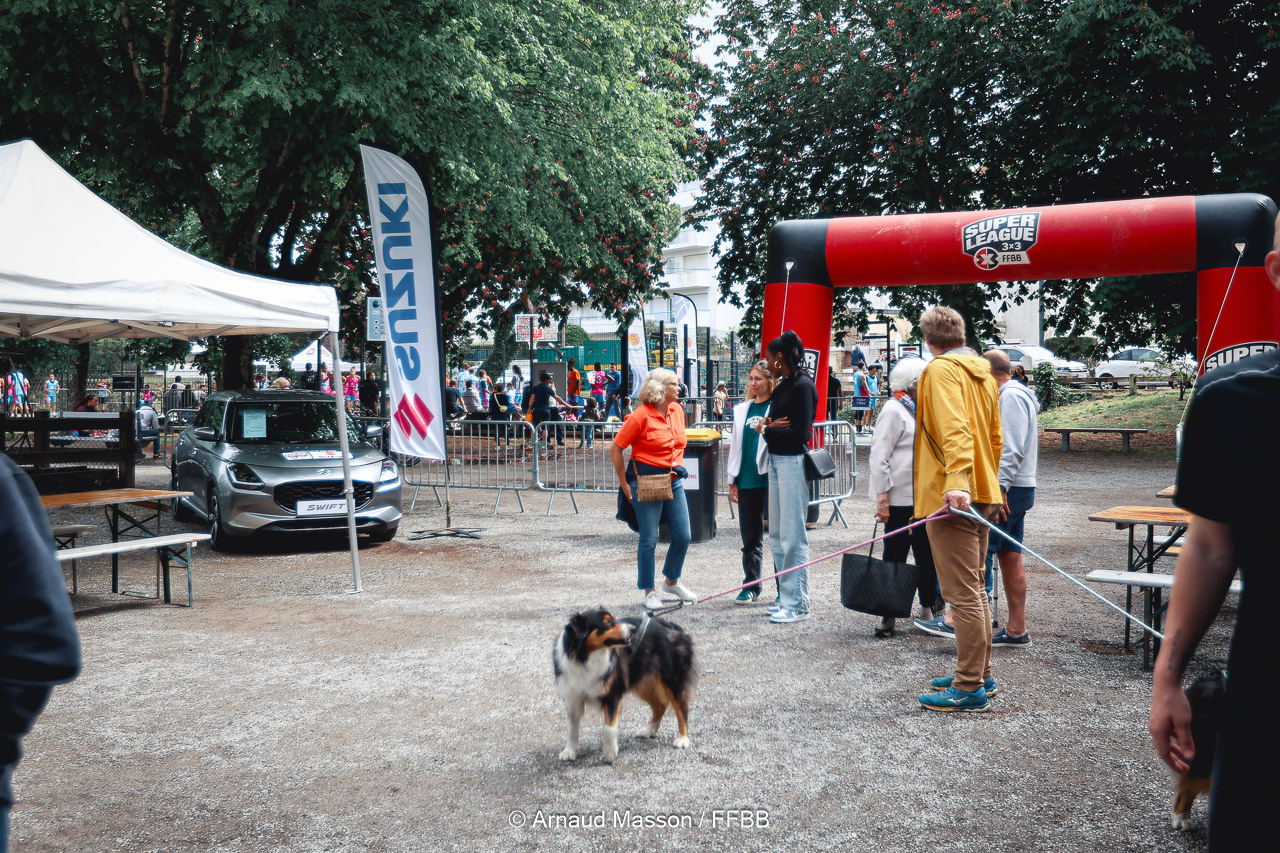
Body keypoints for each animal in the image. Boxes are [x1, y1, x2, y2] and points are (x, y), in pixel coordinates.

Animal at [553, 608, 696, 762]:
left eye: (615, 619)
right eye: (606, 623)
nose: (633, 629)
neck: (585, 658)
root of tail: (672, 625)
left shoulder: (613, 693)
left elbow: (608, 727)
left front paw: (610, 753)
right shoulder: (572, 695)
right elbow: (572, 727)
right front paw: (569, 751)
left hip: (671, 678)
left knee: (681, 707)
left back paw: (683, 739)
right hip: (642, 682)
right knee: (660, 705)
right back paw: (649, 730)